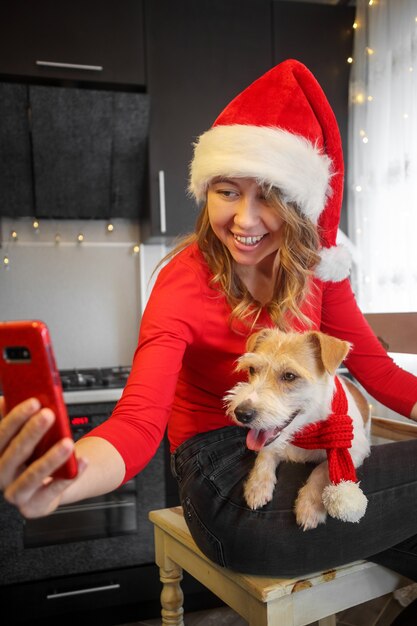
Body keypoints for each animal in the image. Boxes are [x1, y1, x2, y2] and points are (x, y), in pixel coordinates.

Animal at [224, 330, 370, 528]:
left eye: (289, 376)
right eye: (252, 369)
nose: (241, 413)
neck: (303, 431)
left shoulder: (355, 449)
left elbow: (322, 469)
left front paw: (310, 505)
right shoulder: (270, 443)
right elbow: (264, 455)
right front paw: (257, 486)